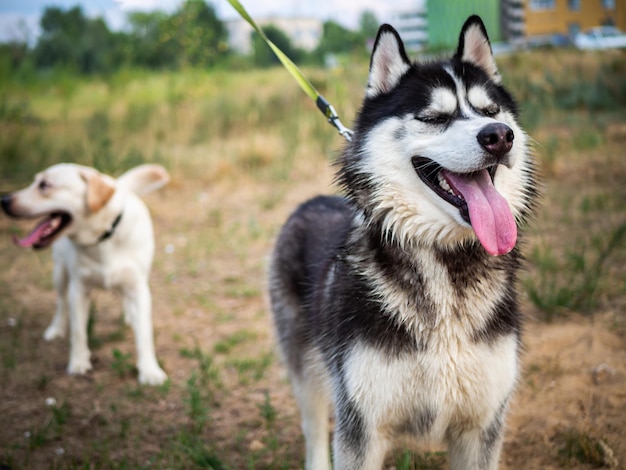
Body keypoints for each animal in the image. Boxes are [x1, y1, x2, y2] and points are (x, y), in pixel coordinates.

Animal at [1, 163, 168, 384]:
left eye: (44, 185)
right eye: (35, 182)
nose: (4, 200)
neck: (102, 238)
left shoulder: (138, 288)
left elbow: (145, 334)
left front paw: (149, 370)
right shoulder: (78, 290)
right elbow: (78, 331)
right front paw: (79, 362)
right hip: (60, 273)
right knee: (61, 303)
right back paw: (56, 329)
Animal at [268, 15, 536, 470]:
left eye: (490, 111)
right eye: (433, 117)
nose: (499, 135)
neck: (441, 261)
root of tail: (310, 201)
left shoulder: (481, 427)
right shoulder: (360, 428)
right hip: (308, 369)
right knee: (313, 428)